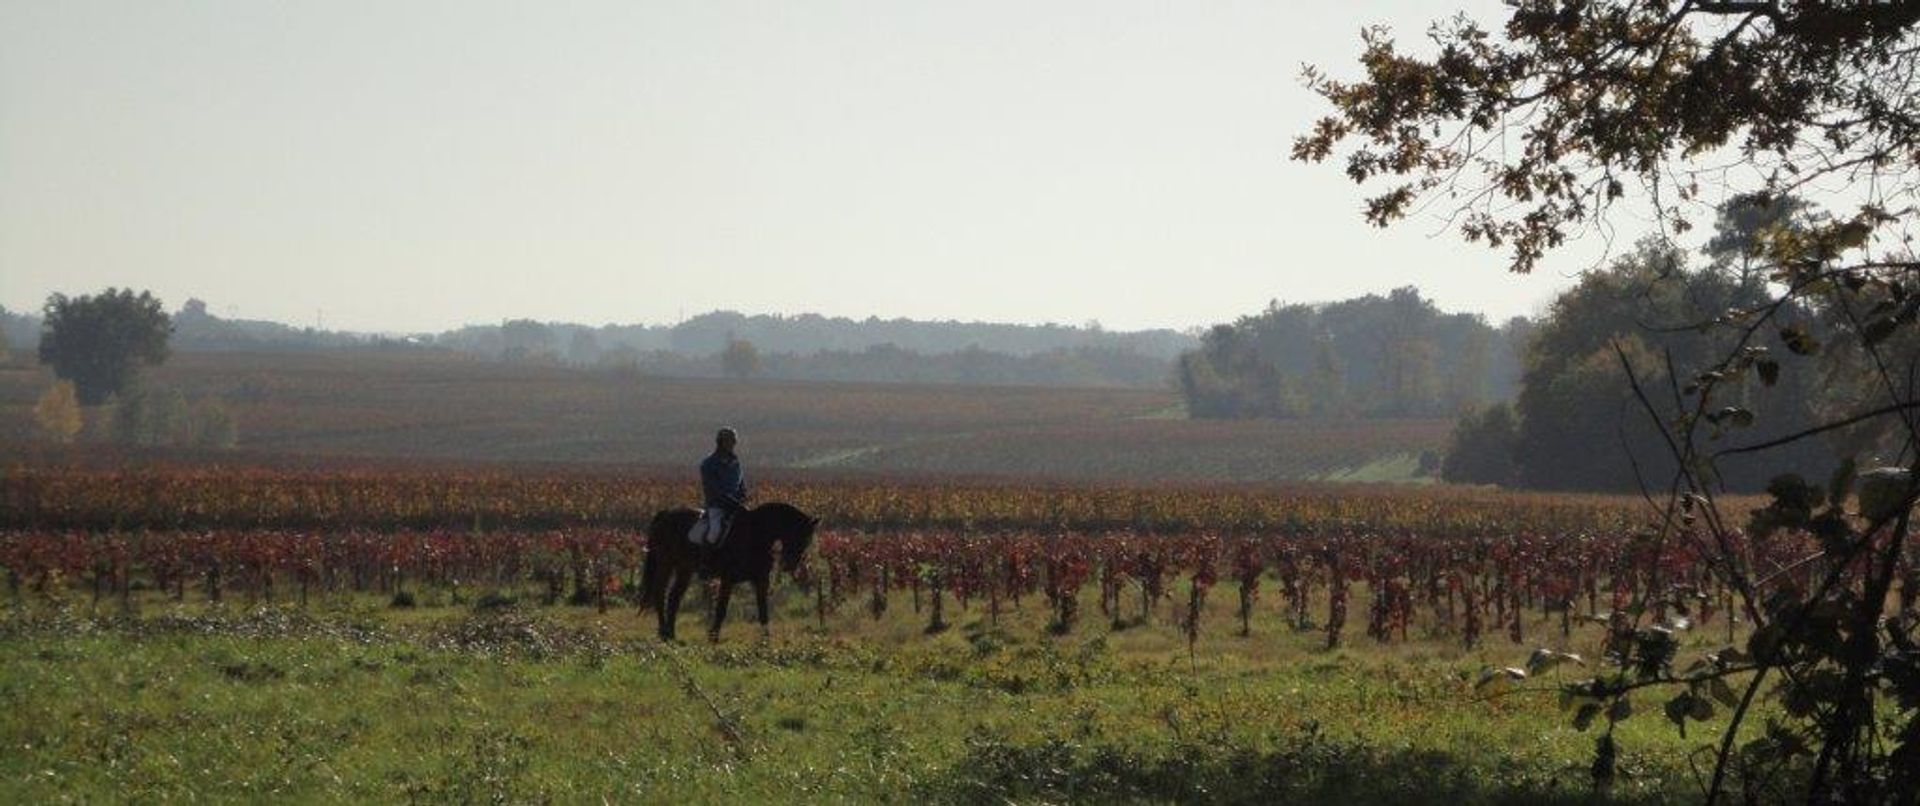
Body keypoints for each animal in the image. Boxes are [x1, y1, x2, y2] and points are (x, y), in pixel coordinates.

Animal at [637, 502, 817, 640]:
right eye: (799, 536)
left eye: (808, 540)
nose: (789, 565)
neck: (755, 535)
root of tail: (666, 514)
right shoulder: (728, 579)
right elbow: (722, 609)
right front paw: (713, 637)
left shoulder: (761, 580)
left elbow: (763, 610)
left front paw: (766, 640)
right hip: (666, 563)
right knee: (660, 593)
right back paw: (663, 632)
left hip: (684, 569)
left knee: (674, 597)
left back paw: (671, 634)